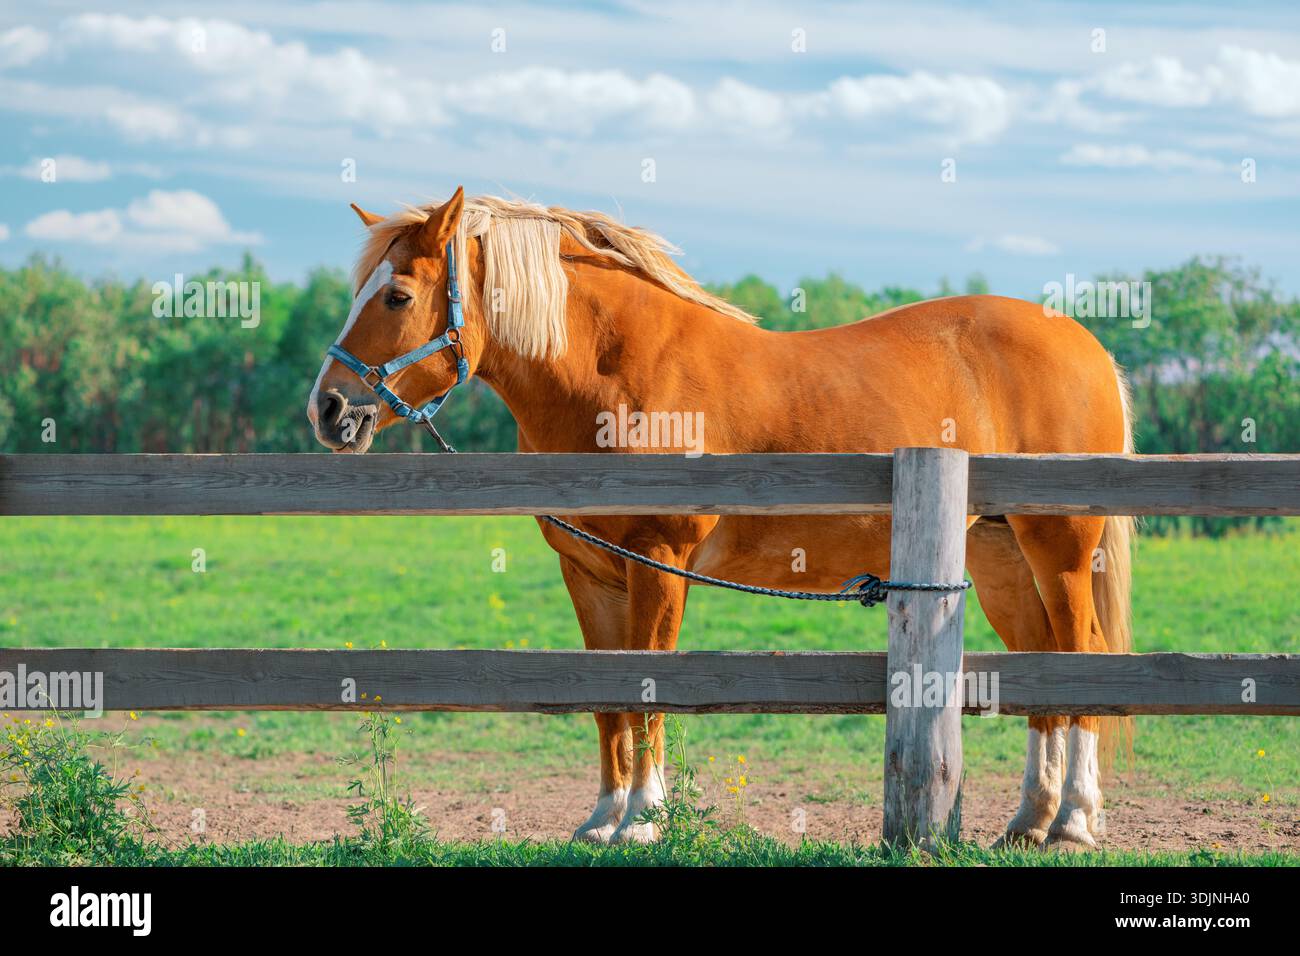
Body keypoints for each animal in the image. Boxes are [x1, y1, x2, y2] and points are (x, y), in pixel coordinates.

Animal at [307, 187, 1134, 850]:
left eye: (397, 296)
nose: (328, 408)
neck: (619, 373)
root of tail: (1085, 342)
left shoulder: (659, 565)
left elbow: (649, 690)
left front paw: (644, 819)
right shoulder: (591, 576)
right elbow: (608, 699)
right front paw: (603, 819)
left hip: (1059, 550)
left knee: (1082, 655)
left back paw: (1075, 820)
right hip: (999, 560)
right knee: (1042, 667)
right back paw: (1031, 820)